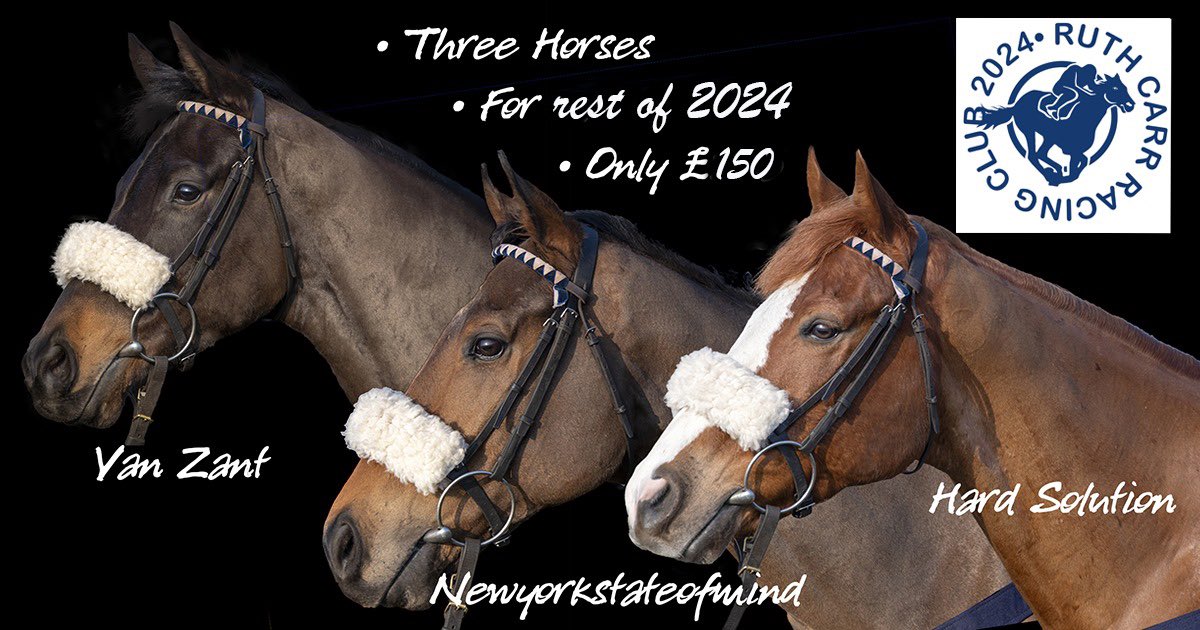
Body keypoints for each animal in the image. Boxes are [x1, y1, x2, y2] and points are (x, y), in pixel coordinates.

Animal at [969, 72, 1134, 185]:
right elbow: (1077, 166)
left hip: (1048, 137)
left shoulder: (1074, 150)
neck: (1085, 117)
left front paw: (1065, 174)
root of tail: (1016, 104)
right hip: (1030, 131)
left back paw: (1055, 171)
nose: (1131, 104)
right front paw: (1065, 176)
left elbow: (1084, 160)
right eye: (1115, 88)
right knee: (1034, 155)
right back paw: (1052, 174)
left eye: (1125, 87)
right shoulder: (1071, 149)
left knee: (1040, 154)